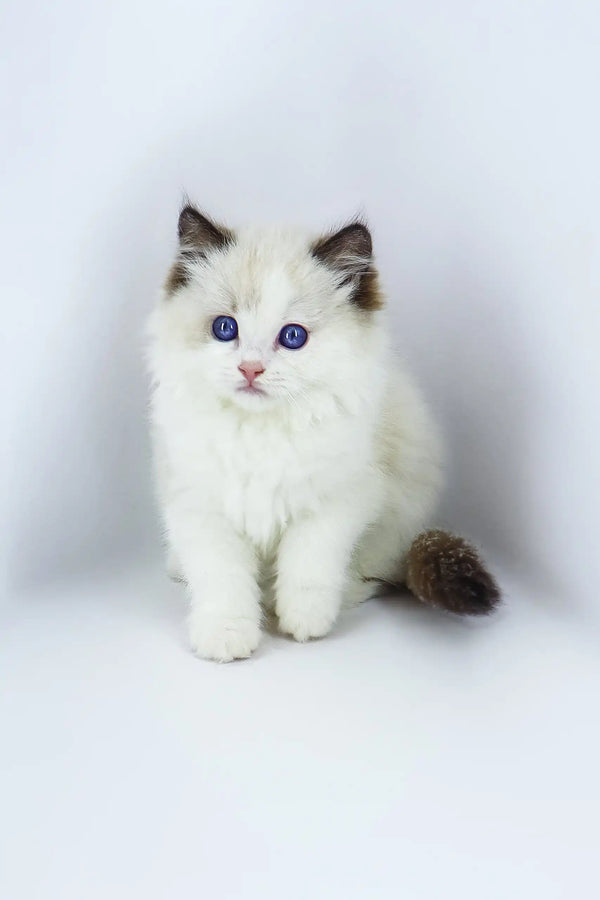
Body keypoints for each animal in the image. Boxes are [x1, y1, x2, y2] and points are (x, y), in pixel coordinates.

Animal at [148, 207, 500, 664]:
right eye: (225, 328)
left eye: (292, 336)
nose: (250, 369)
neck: (261, 432)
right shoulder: (202, 504)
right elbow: (223, 578)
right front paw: (227, 635)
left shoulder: (336, 499)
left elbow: (308, 564)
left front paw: (303, 621)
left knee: (371, 575)